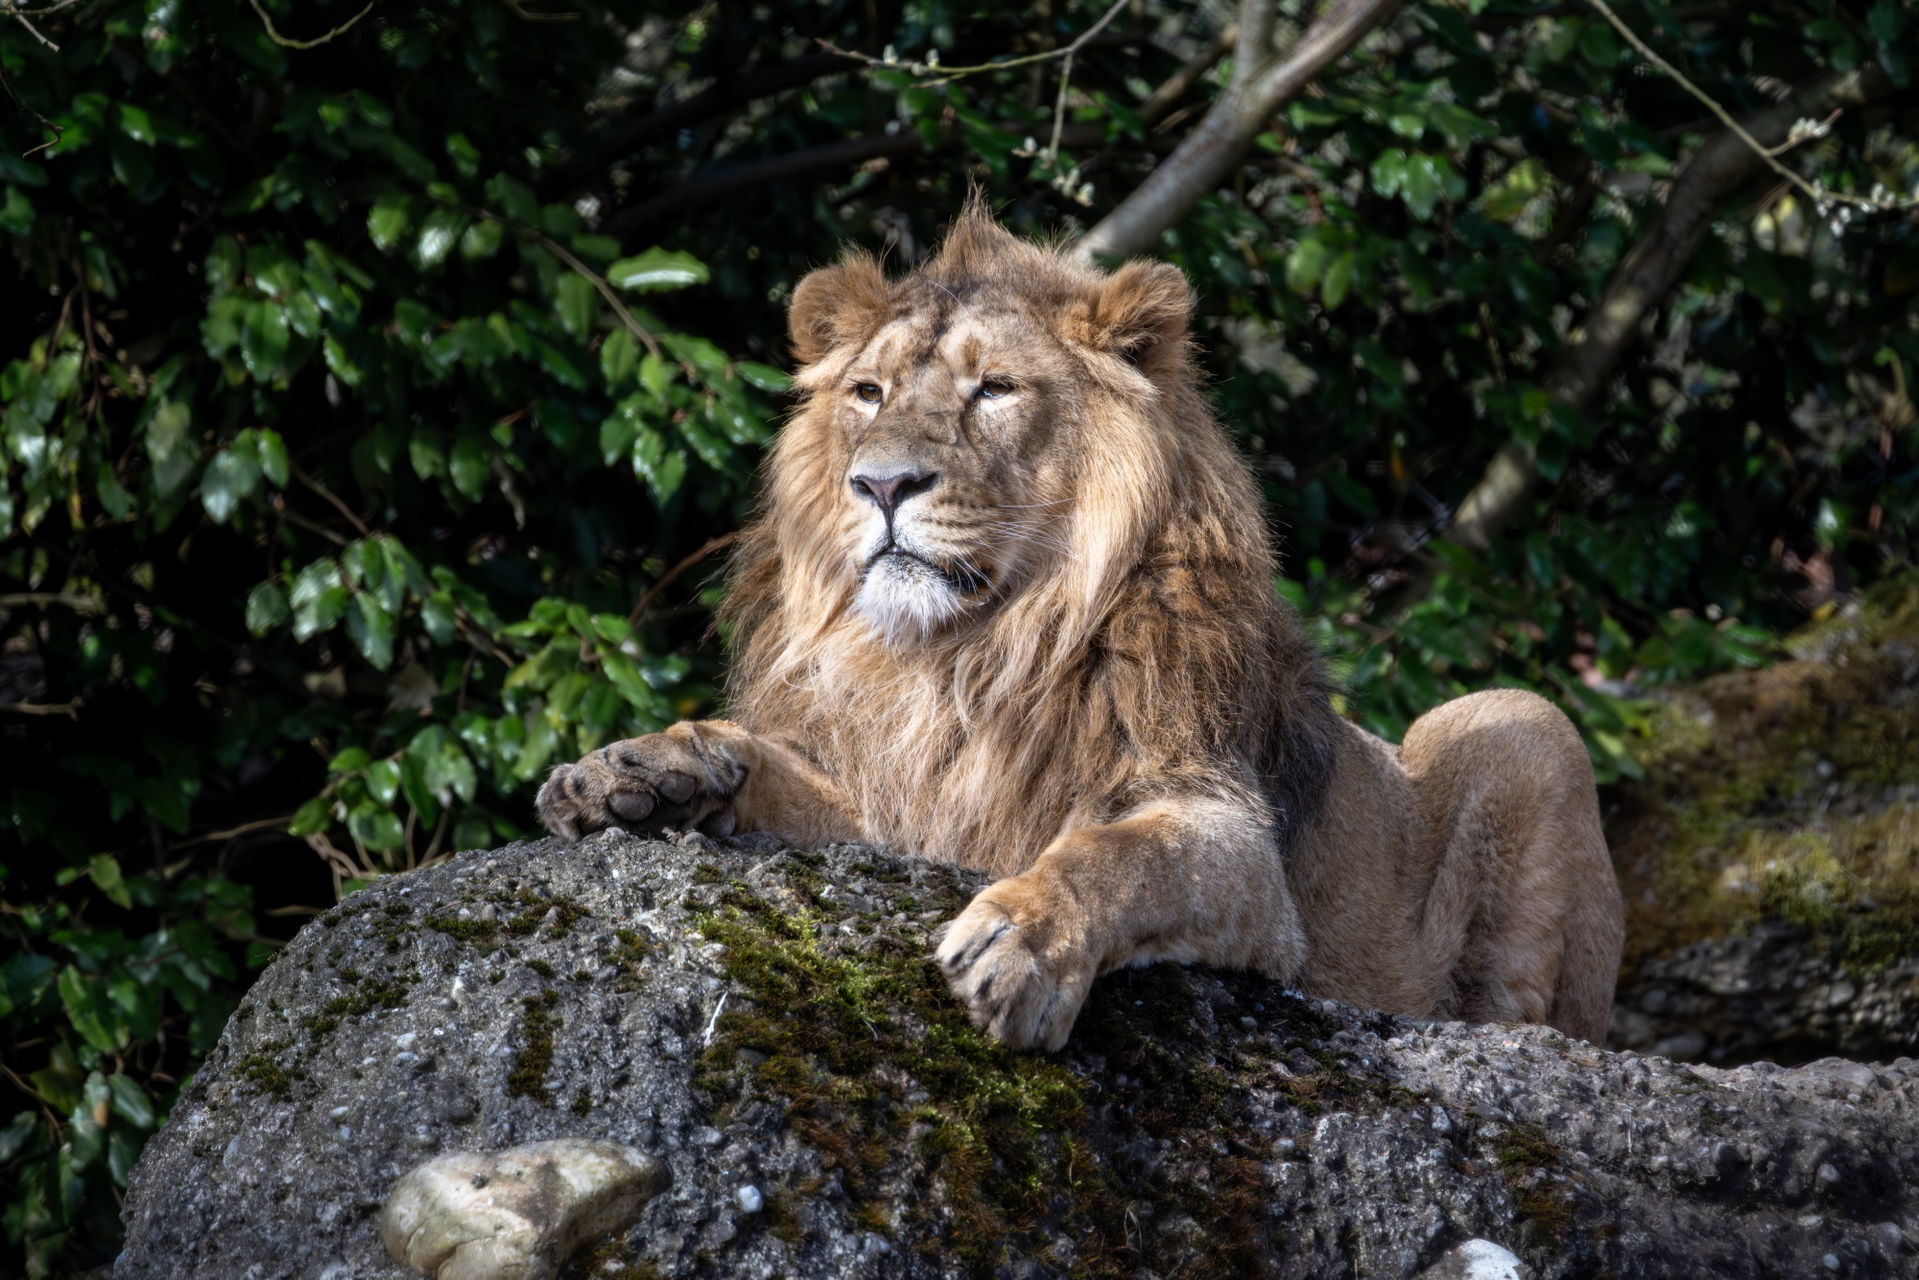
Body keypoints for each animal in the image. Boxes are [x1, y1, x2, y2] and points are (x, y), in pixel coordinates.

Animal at [537, 204, 1625, 1051]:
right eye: (868, 393)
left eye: (993, 389)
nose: (880, 484)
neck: (968, 654)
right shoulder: (909, 815)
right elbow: (772, 772)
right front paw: (646, 770)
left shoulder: (1235, 844)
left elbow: (1119, 852)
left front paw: (1016, 942)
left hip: (1522, 723)